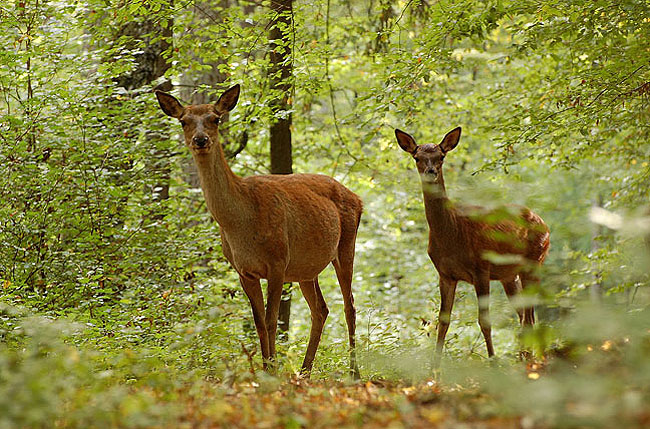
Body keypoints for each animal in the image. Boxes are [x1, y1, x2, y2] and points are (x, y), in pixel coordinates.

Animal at [155, 84, 362, 378]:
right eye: (184, 121)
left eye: (215, 118)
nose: (200, 140)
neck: (241, 222)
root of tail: (358, 198)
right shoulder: (244, 270)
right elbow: (259, 322)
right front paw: (266, 371)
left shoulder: (277, 262)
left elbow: (272, 319)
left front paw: (272, 371)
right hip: (305, 268)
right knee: (321, 309)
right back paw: (304, 372)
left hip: (346, 245)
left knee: (349, 305)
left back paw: (354, 373)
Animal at [392, 126, 548, 362]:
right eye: (417, 157)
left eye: (441, 156)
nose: (431, 171)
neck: (452, 236)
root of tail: (543, 222)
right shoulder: (445, 274)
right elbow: (443, 322)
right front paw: (435, 368)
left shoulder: (481, 268)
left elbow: (485, 321)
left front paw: (492, 362)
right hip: (509, 275)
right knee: (524, 315)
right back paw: (526, 360)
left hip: (534, 261)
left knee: (529, 316)